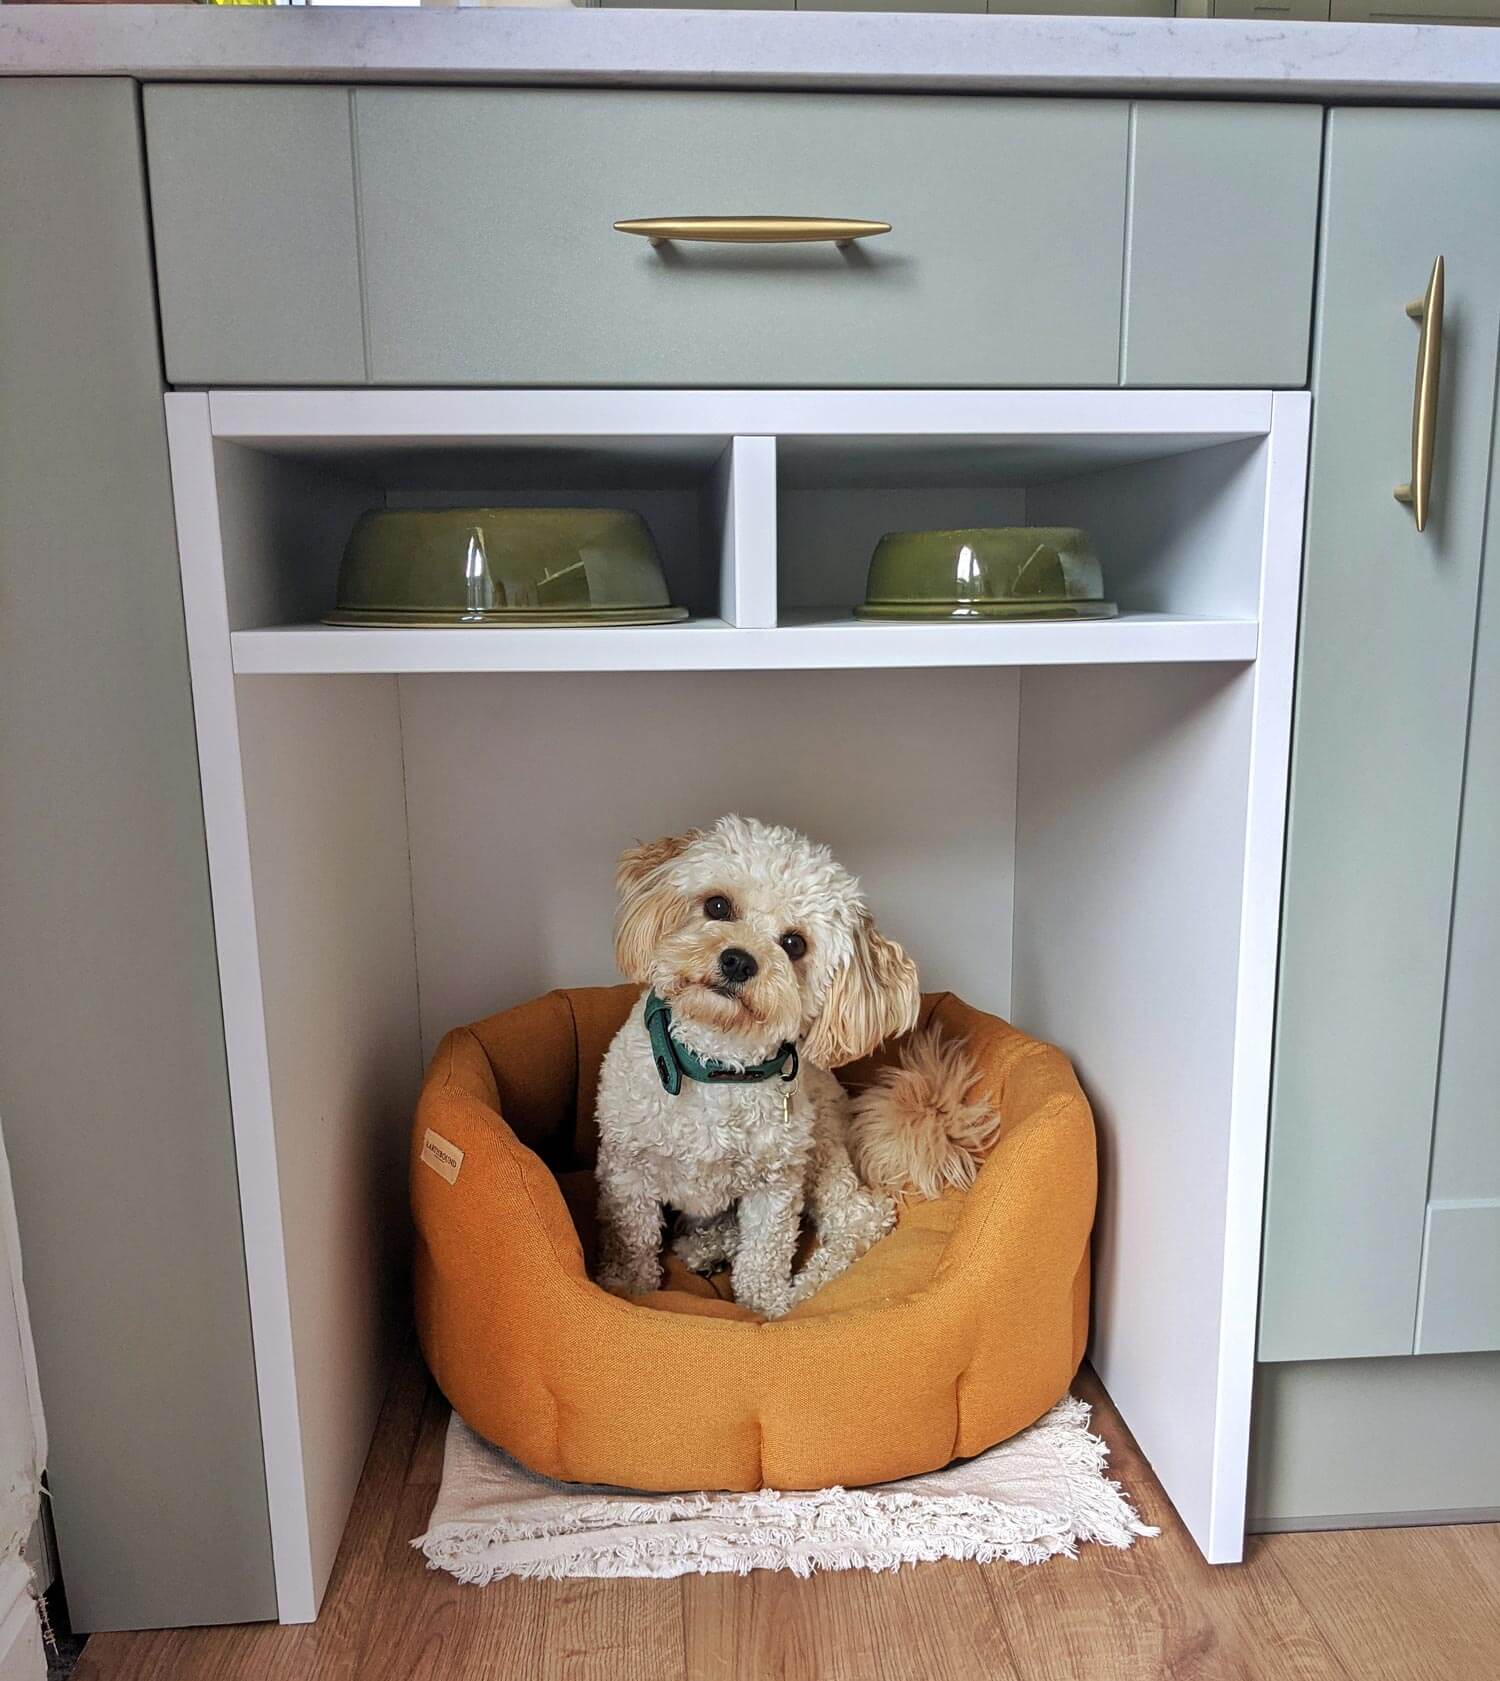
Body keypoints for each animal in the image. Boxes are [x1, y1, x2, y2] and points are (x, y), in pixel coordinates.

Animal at [591, 820, 1002, 1317]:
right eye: (717, 906)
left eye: (794, 944)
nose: (738, 960)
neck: (718, 1068)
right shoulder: (626, 1171)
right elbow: (632, 1240)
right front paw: (627, 1289)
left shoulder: (776, 1186)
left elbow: (765, 1256)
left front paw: (763, 1310)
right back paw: (707, 1247)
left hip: (820, 1149)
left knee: (860, 1219)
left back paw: (802, 1289)